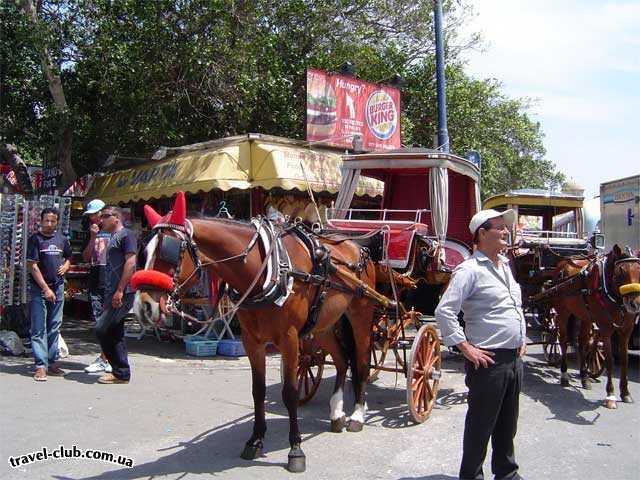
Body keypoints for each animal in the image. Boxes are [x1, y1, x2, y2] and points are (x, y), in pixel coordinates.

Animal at [132, 191, 378, 472]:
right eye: (142, 252)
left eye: (169, 252)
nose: (143, 307)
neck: (267, 270)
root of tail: (356, 246)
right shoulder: (252, 341)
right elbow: (257, 390)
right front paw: (255, 440)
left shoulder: (289, 339)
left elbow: (290, 393)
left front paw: (296, 450)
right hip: (323, 324)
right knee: (341, 360)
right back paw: (337, 413)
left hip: (360, 316)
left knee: (361, 361)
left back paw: (357, 415)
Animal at [544, 248, 640, 408]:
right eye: (620, 272)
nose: (635, 304)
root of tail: (562, 264)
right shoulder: (606, 328)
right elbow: (610, 360)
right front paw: (610, 395)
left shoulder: (627, 329)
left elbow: (624, 359)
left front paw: (625, 393)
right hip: (563, 311)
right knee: (563, 341)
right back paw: (564, 376)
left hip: (585, 316)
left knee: (582, 342)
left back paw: (584, 378)